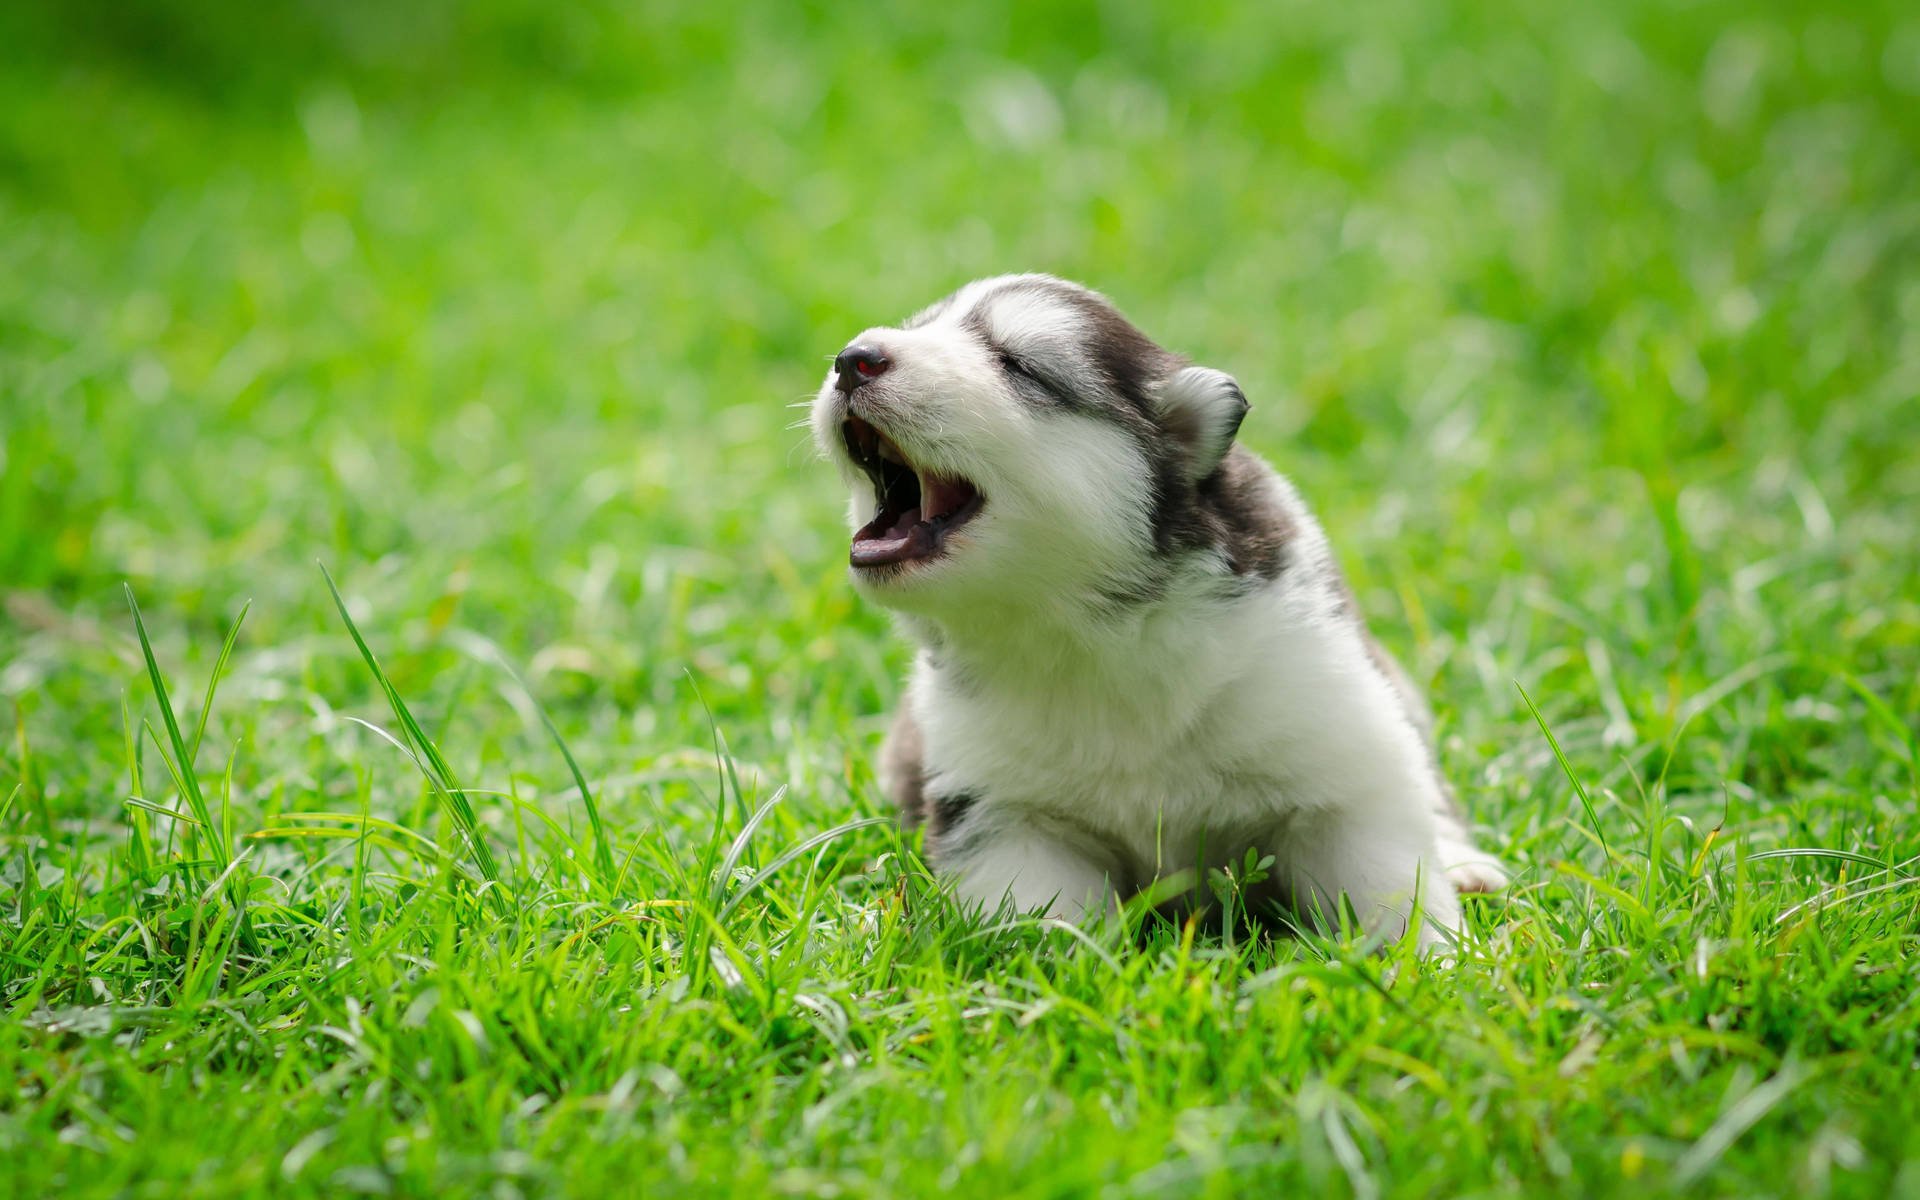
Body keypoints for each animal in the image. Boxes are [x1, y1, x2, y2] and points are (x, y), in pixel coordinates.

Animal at [806, 274, 1497, 944]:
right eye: (919, 328)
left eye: (1018, 365)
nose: (852, 359)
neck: (1089, 637)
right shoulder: (1008, 818)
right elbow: (1045, 926)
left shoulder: (1345, 771)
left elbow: (1396, 895)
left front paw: (1435, 965)